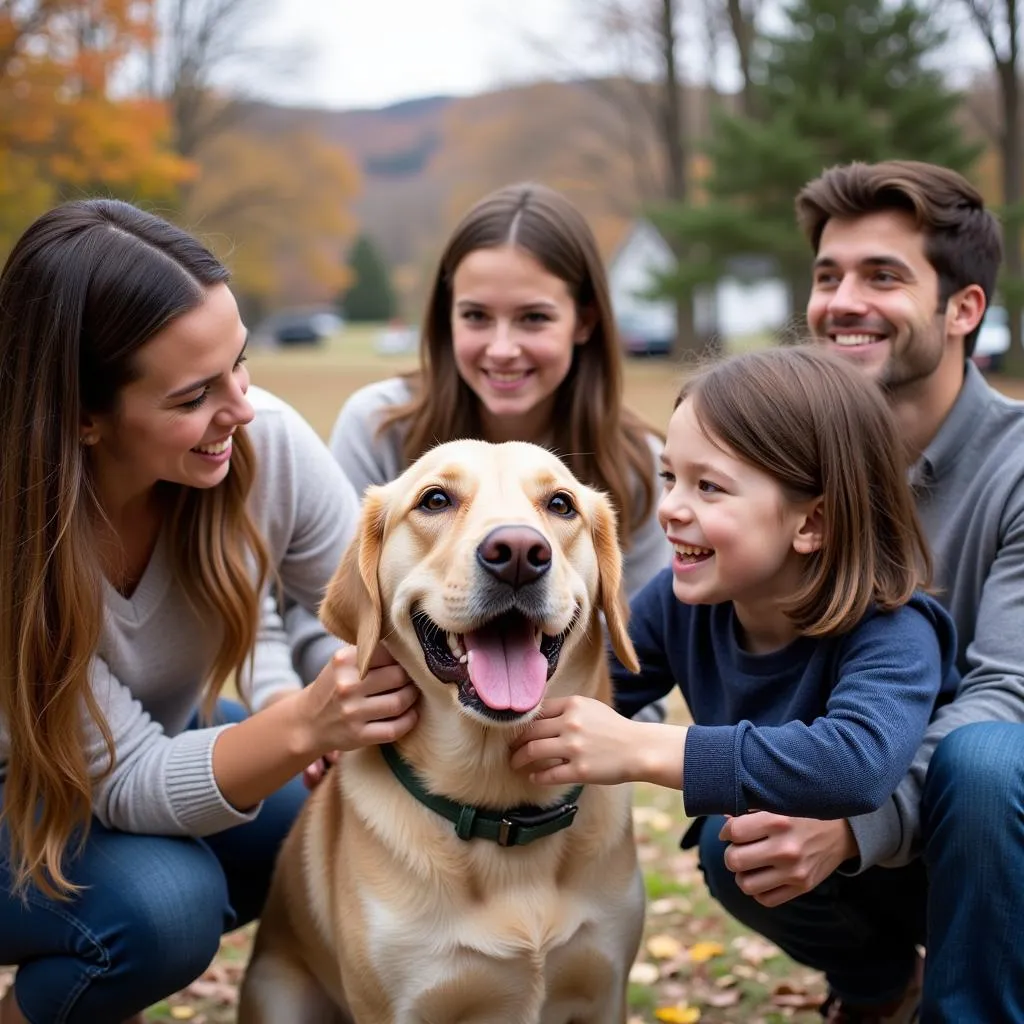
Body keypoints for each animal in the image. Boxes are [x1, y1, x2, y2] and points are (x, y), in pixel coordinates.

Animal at [235, 440, 643, 1024]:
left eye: (561, 504)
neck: (500, 807)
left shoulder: (606, 991)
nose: (519, 552)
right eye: (435, 500)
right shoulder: (397, 1006)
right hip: (278, 993)